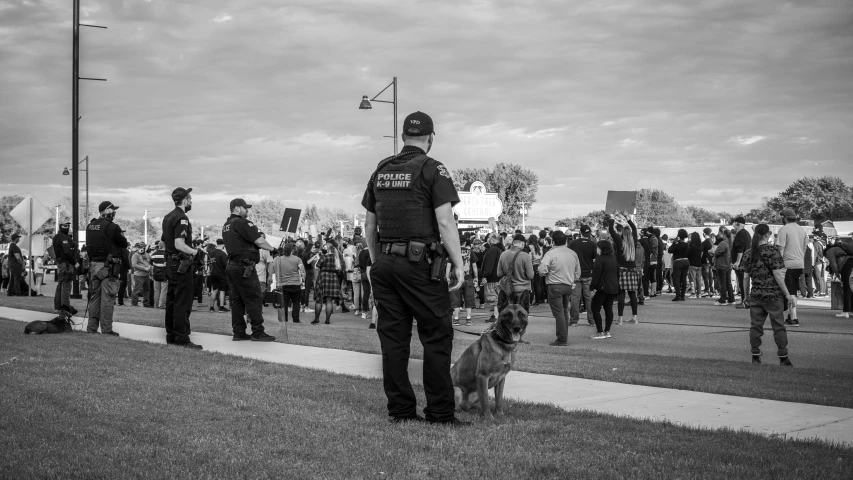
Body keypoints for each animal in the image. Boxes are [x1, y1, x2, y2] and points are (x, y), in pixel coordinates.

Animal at [452, 288, 524, 420]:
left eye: (522, 315)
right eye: (508, 315)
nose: (516, 328)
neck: (502, 345)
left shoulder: (501, 378)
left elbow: (498, 399)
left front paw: (499, 414)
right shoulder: (482, 377)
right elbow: (485, 399)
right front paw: (488, 418)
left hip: (475, 394)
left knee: (468, 406)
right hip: (457, 390)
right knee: (457, 406)